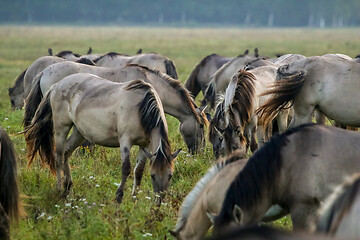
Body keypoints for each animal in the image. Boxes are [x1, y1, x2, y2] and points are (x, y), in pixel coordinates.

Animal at [23, 73, 180, 202]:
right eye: (153, 175)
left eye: (170, 175)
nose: (159, 201)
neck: (141, 109)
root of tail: (57, 85)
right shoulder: (125, 141)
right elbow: (126, 169)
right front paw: (119, 196)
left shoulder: (144, 145)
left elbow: (139, 171)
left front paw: (134, 198)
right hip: (62, 129)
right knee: (58, 157)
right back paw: (59, 189)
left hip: (79, 132)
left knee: (67, 152)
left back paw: (68, 187)